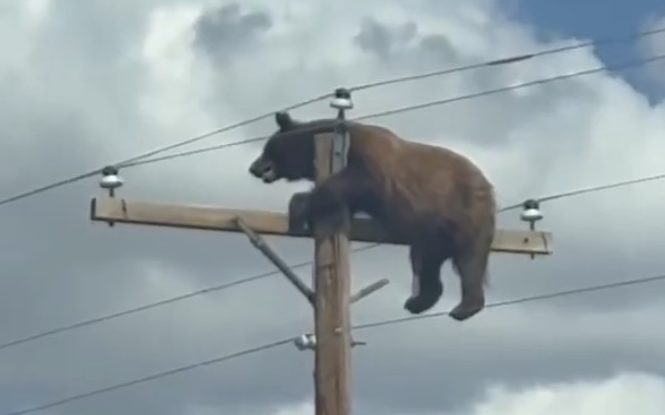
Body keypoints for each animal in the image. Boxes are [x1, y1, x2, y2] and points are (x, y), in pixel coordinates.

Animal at [248, 111, 496, 321]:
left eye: (267, 147)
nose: (253, 167)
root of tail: (488, 185)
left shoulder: (371, 159)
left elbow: (357, 178)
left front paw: (299, 205)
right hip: (430, 232)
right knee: (425, 262)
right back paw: (418, 301)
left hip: (465, 211)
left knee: (470, 259)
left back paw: (464, 307)